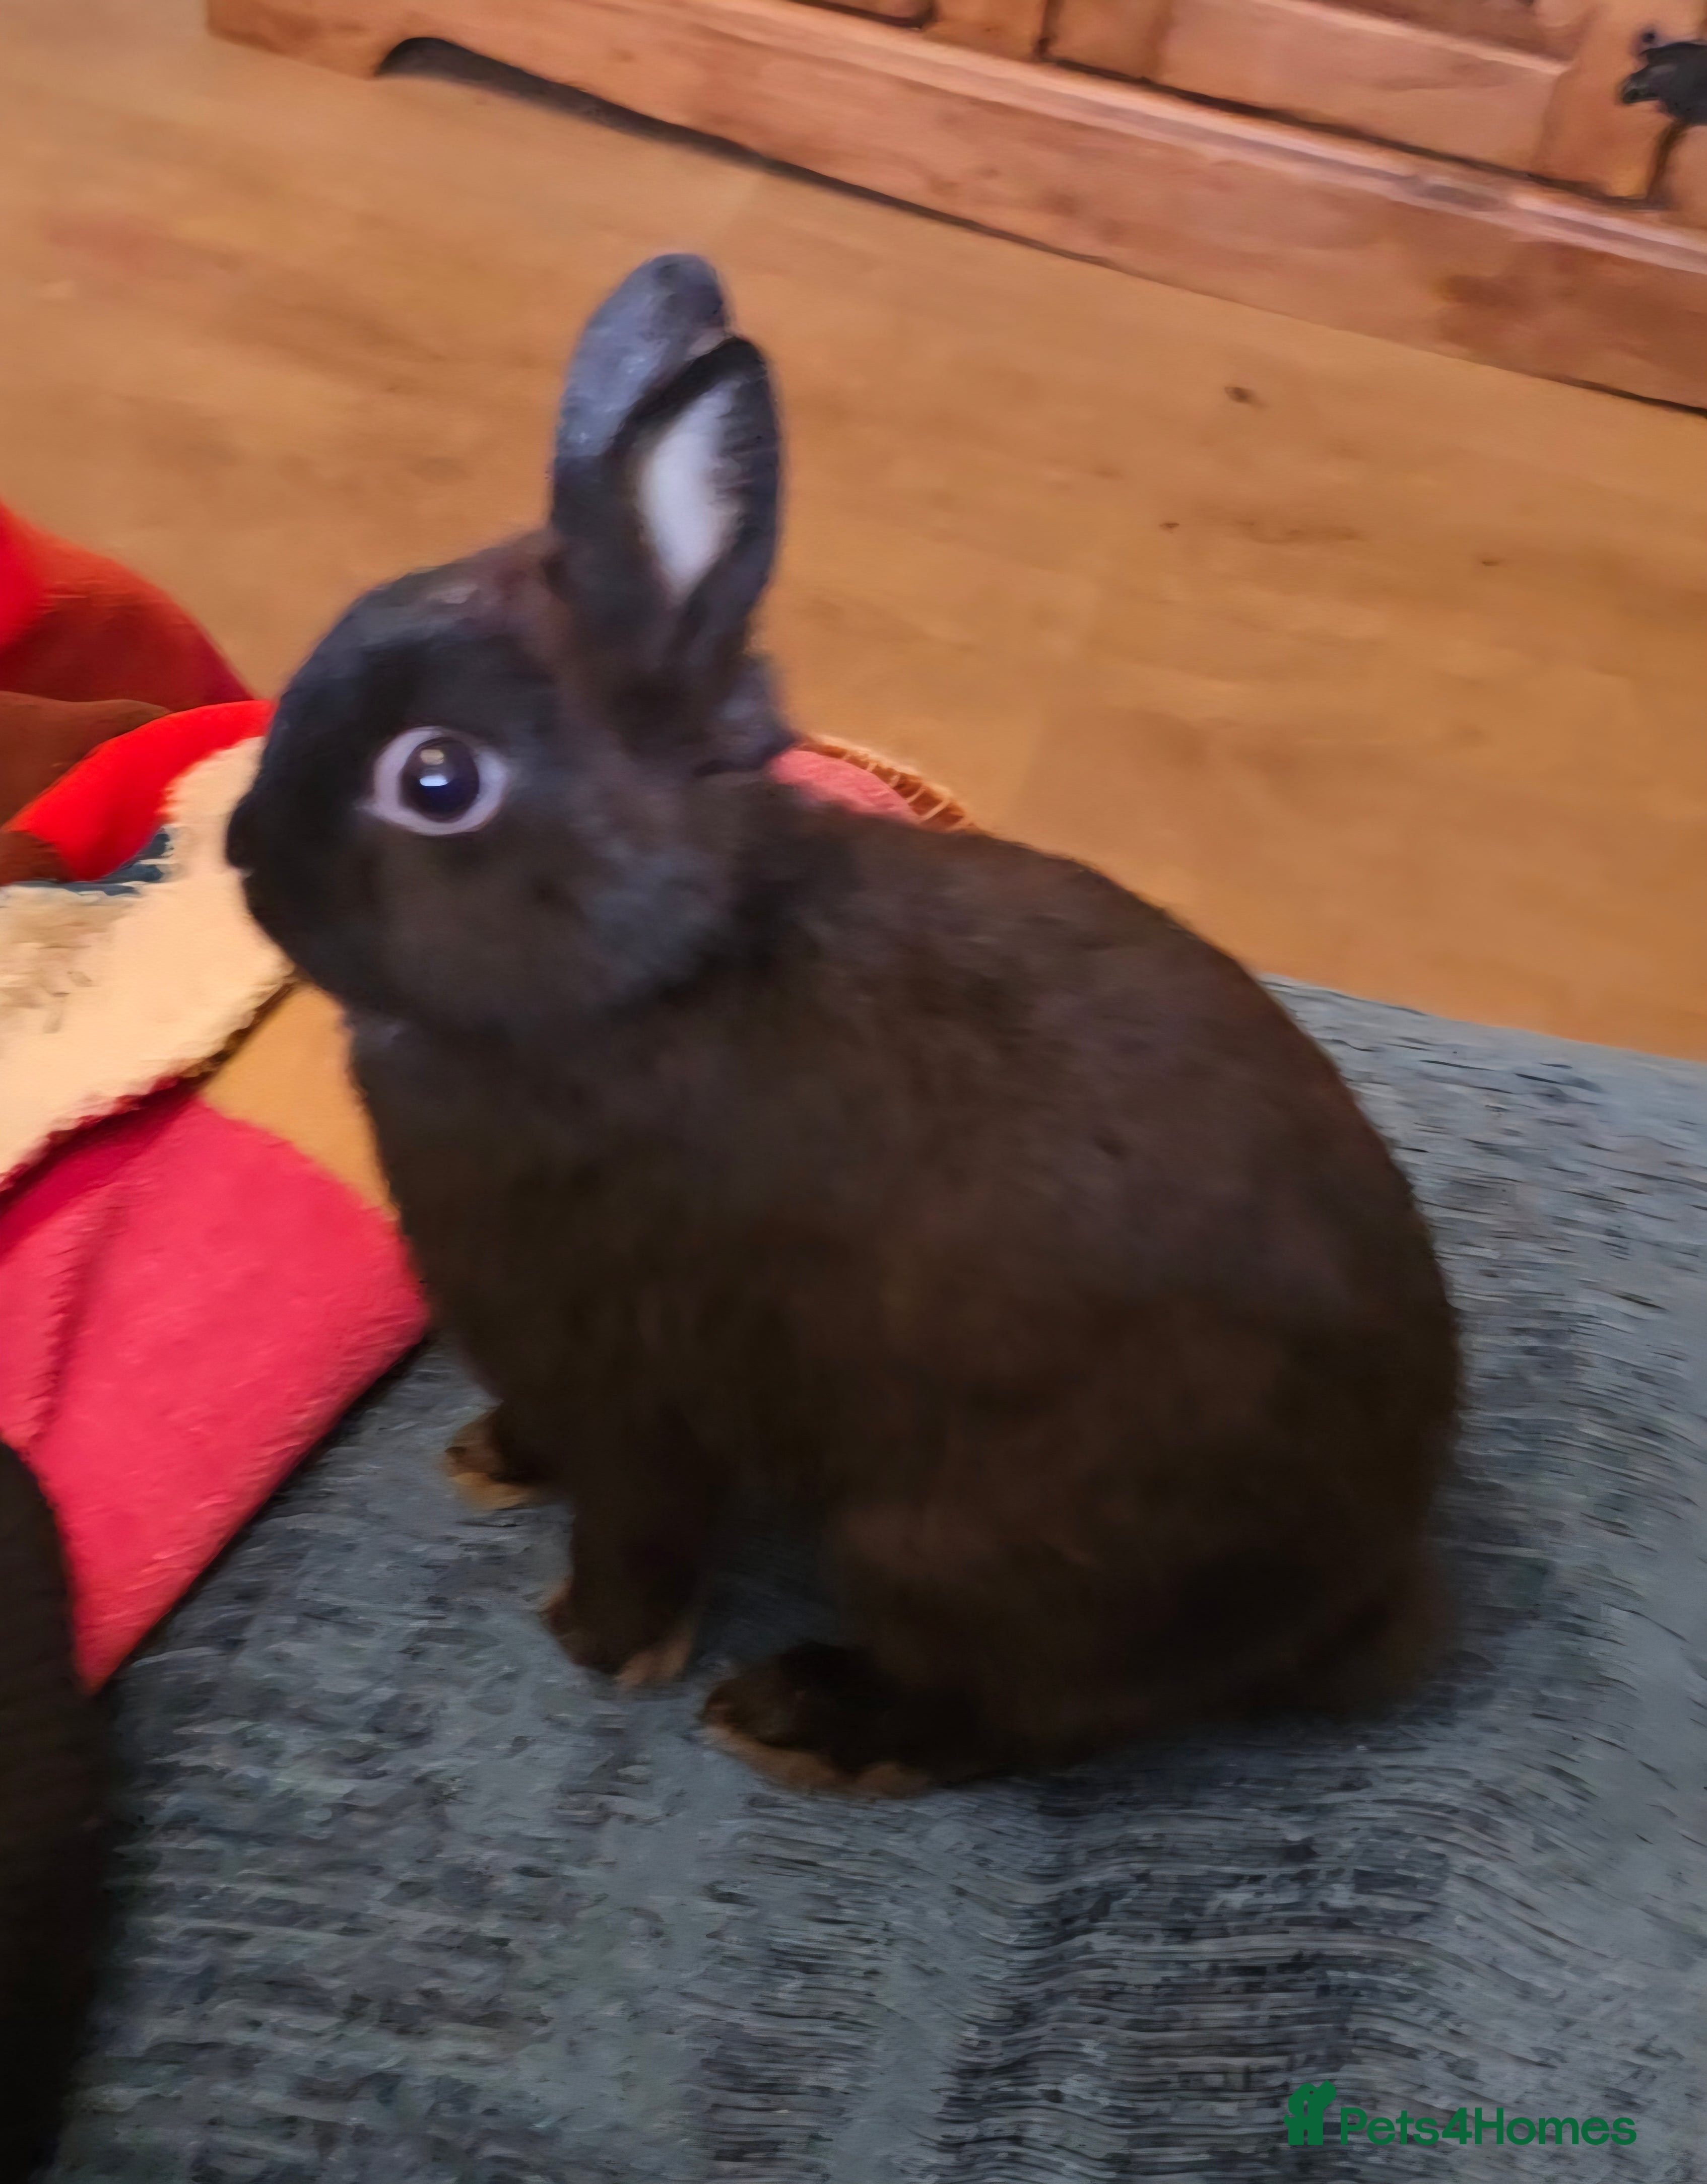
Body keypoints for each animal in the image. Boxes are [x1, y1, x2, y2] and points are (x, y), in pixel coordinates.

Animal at [227, 254, 1459, 1795]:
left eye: (437, 780)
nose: (243, 854)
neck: (643, 973)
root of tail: (1363, 1597)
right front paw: (496, 1457)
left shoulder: (636, 1384)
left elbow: (638, 1523)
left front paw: (599, 1643)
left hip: (947, 1547)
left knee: (1016, 1720)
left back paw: (798, 1722)